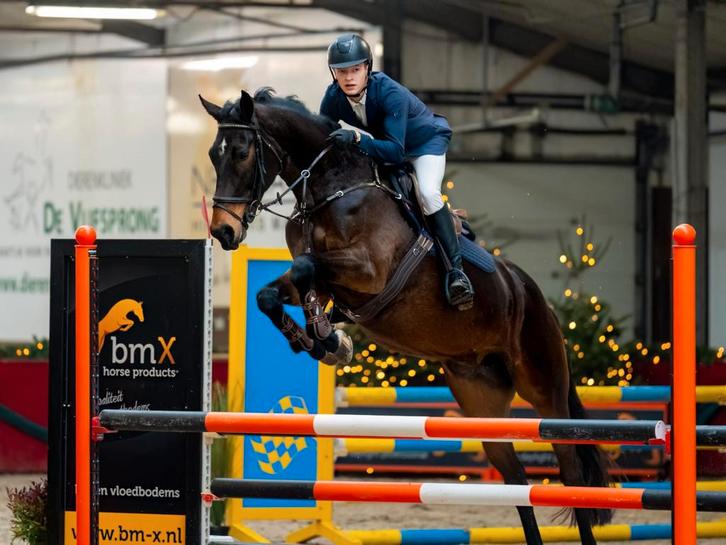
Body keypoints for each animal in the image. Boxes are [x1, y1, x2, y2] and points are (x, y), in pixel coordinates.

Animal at [200, 88, 612, 545]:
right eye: (214, 155)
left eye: (241, 152)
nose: (223, 233)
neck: (330, 188)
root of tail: (534, 294)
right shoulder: (323, 280)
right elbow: (271, 293)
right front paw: (323, 341)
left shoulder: (367, 269)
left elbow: (307, 266)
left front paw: (327, 338)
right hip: (480, 398)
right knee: (515, 478)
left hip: (544, 389)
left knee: (571, 469)